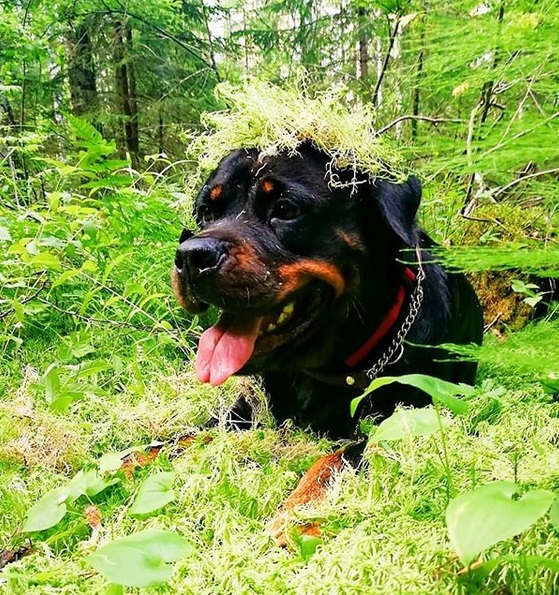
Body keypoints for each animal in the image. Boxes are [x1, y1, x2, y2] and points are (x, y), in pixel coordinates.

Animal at [173, 143, 484, 540]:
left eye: (285, 210)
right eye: (206, 212)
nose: (190, 256)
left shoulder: (409, 416)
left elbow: (337, 459)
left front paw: (294, 515)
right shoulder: (240, 412)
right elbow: (176, 438)